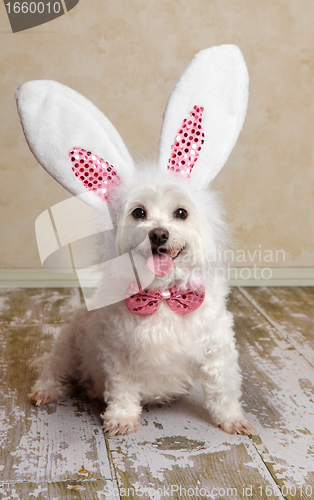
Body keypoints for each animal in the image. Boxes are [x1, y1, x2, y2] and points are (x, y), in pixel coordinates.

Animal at [15, 47, 255, 438]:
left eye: (181, 213)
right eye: (139, 213)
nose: (158, 233)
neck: (164, 296)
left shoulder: (217, 351)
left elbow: (223, 390)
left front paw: (233, 419)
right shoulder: (118, 355)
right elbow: (123, 390)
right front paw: (122, 419)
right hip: (69, 346)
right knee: (53, 369)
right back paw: (46, 390)